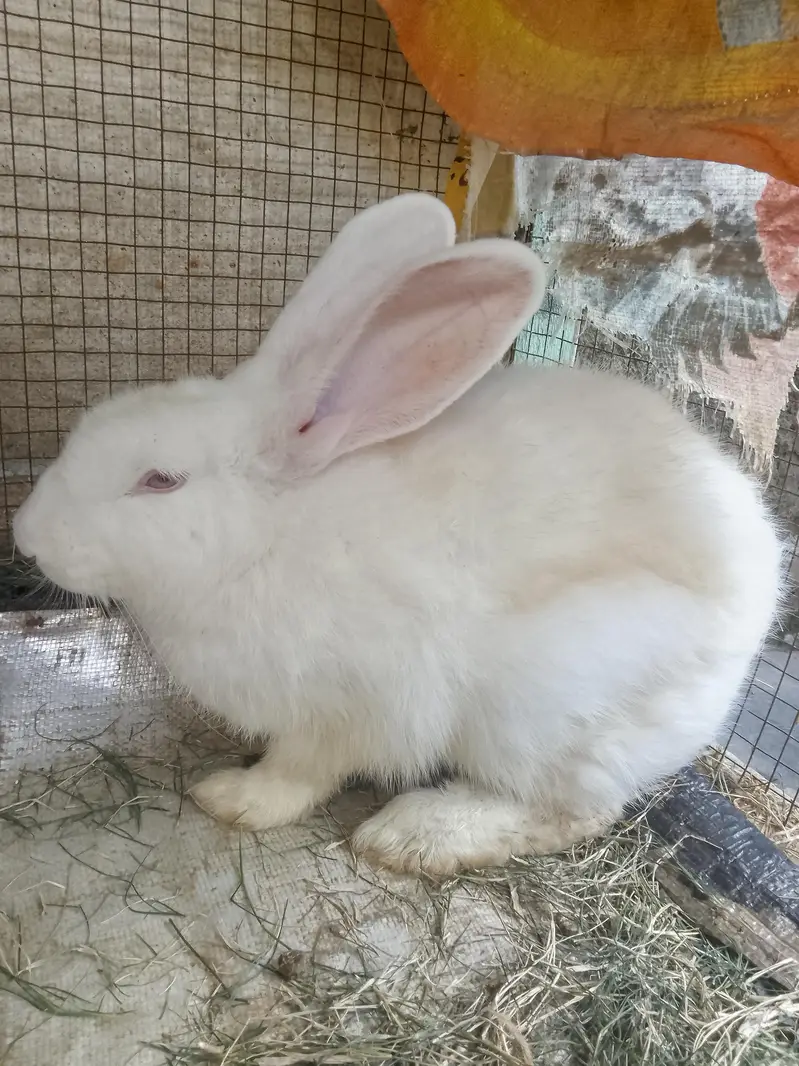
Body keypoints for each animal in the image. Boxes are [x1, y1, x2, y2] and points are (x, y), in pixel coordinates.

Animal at [13, 192, 783, 876]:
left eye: (160, 481)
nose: (25, 536)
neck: (265, 536)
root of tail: (759, 581)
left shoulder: (354, 705)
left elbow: (302, 768)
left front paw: (234, 797)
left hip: (549, 703)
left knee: (574, 811)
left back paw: (417, 835)